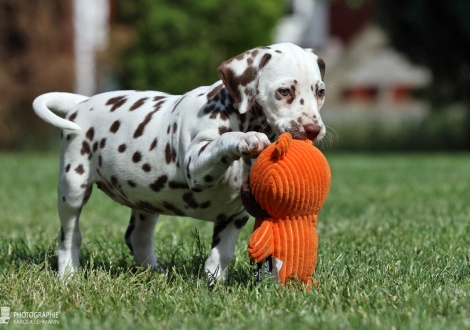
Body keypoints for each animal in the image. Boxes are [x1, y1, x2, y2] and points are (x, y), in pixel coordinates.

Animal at [33, 41, 326, 280]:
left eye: (320, 92)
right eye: (284, 92)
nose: (314, 129)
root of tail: (82, 103)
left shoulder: (236, 216)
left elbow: (222, 254)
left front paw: (214, 284)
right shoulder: (196, 166)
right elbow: (223, 141)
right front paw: (246, 138)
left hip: (146, 200)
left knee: (137, 238)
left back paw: (156, 273)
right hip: (73, 187)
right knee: (69, 236)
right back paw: (68, 274)